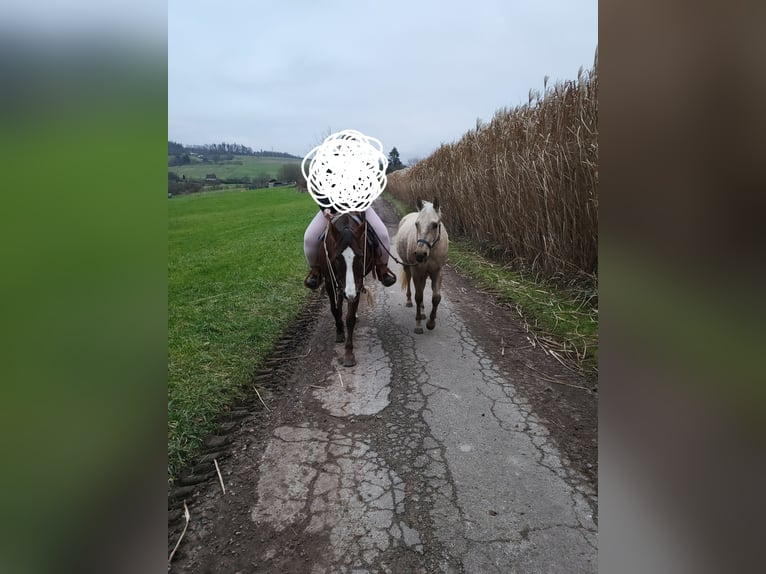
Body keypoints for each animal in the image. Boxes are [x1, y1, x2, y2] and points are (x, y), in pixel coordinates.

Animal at [316, 214, 376, 366]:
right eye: (337, 258)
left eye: (360, 257)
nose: (350, 294)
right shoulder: (329, 282)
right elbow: (335, 309)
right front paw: (339, 332)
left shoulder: (357, 285)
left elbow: (350, 318)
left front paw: (348, 353)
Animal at [396, 199, 450, 336]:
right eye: (417, 224)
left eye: (435, 225)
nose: (420, 254)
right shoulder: (416, 272)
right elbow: (419, 297)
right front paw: (418, 325)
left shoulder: (437, 272)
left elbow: (436, 297)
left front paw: (431, 323)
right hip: (408, 266)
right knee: (409, 280)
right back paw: (409, 302)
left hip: (425, 273)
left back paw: (423, 312)